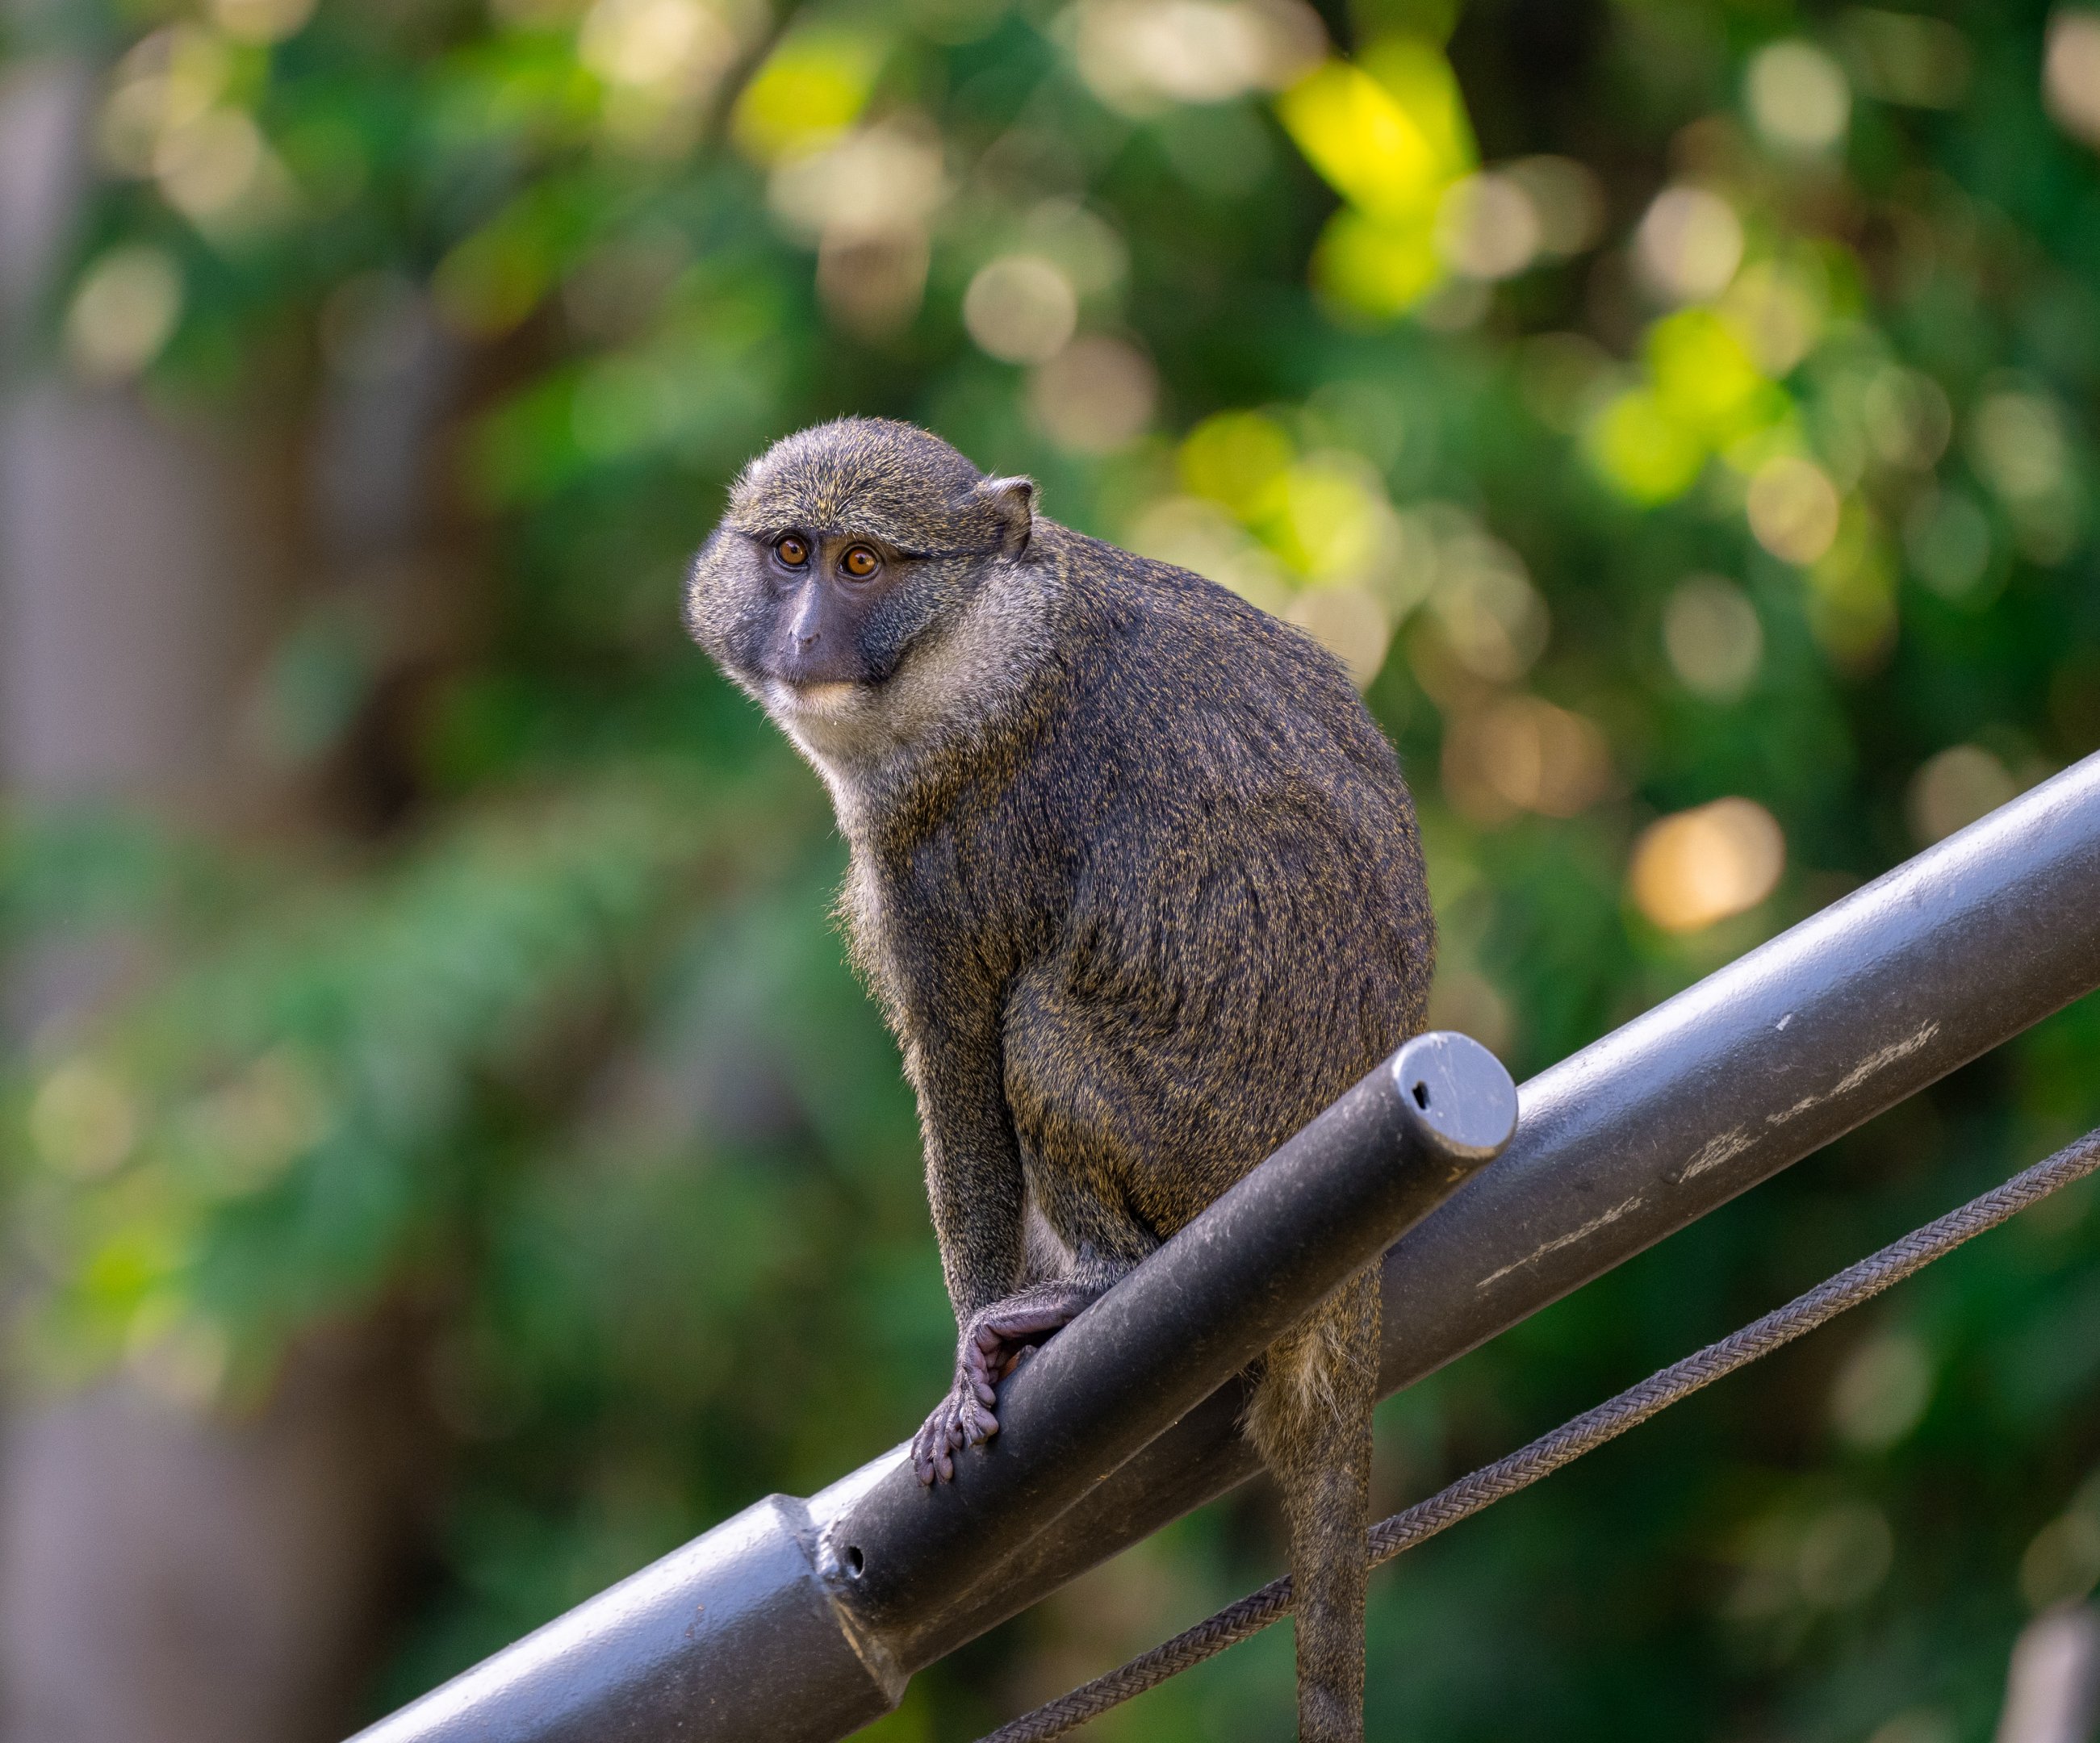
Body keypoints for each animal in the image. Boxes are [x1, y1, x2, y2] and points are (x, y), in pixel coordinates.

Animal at [684, 417, 1433, 1743]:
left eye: (865, 564)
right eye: (789, 553)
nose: (805, 636)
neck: (992, 645)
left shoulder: (948, 854)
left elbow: (965, 1068)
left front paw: (968, 1360)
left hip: (1200, 1142)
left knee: (1037, 1024)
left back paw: (1094, 1289)